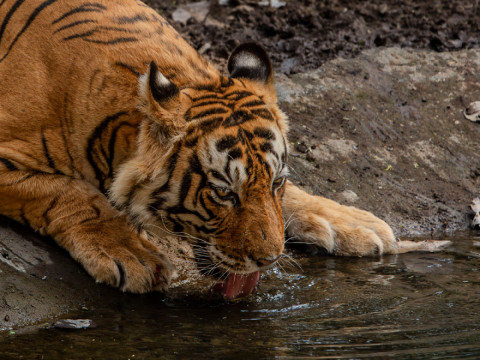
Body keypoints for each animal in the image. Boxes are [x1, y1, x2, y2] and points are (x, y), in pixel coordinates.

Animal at [0, 0, 398, 298]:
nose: (269, 260)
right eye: (223, 193)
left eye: (276, 183)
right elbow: (69, 192)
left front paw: (354, 223)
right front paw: (132, 255)